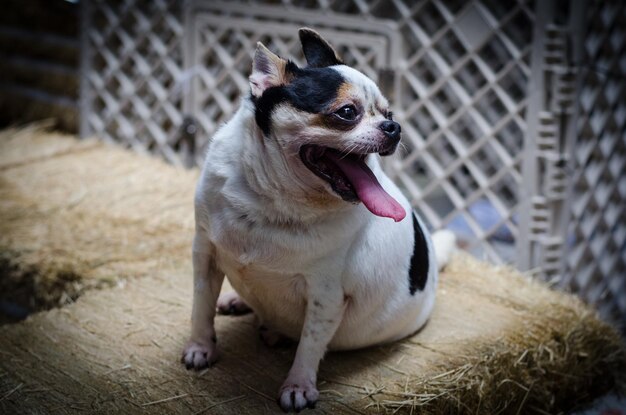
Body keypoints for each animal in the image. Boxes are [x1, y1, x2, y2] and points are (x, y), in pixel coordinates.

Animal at [180, 28, 454, 412]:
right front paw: (200, 348)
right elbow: (200, 307)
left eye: (388, 112)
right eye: (347, 112)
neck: (274, 200)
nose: (394, 126)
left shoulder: (326, 296)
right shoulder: (204, 255)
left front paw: (298, 385)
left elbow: (309, 344)